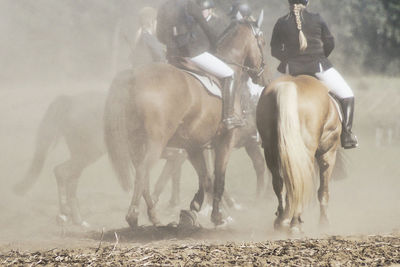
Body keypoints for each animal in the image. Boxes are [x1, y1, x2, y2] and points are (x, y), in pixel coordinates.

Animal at [103, 18, 266, 228]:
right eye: (262, 42)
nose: (262, 76)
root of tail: (133, 76)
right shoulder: (225, 140)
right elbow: (219, 177)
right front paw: (218, 216)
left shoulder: (194, 146)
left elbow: (206, 178)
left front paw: (196, 206)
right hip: (155, 143)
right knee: (142, 172)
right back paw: (134, 215)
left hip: (135, 143)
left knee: (145, 175)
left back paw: (154, 216)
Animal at [256, 75, 340, 234]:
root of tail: (289, 86)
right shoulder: (328, 153)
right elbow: (323, 190)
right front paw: (324, 223)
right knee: (299, 184)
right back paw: (294, 223)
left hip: (271, 151)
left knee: (280, 182)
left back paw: (281, 220)